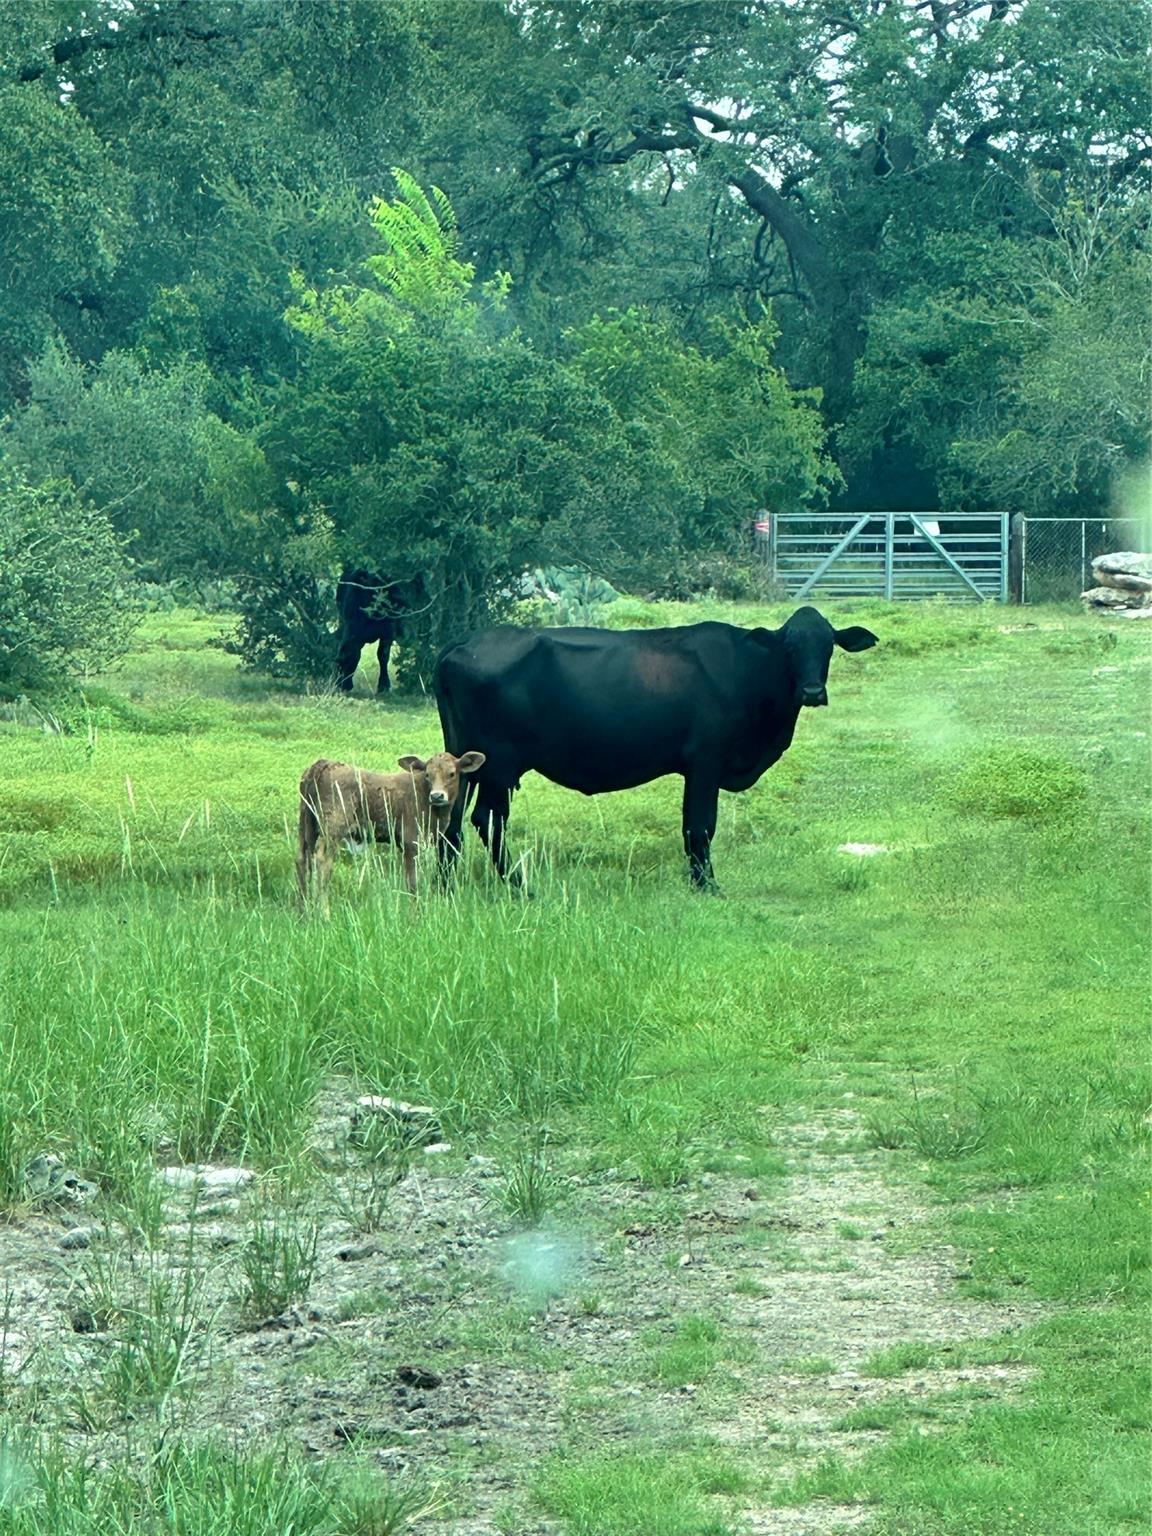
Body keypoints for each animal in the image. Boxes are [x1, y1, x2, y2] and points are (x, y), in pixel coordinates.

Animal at [297, 752, 488, 903]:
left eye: (452, 774)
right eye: (427, 774)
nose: (437, 796)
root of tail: (324, 764)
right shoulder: (411, 842)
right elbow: (413, 883)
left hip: (307, 824)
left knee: (302, 860)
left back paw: (304, 911)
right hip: (333, 826)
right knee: (322, 861)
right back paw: (324, 914)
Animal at [436, 602, 878, 890]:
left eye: (828, 645)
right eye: (790, 647)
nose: (812, 691)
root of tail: (463, 644)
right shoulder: (706, 762)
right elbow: (700, 826)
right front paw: (706, 886)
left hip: (466, 760)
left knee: (450, 822)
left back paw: (447, 886)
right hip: (500, 764)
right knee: (488, 821)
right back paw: (520, 885)